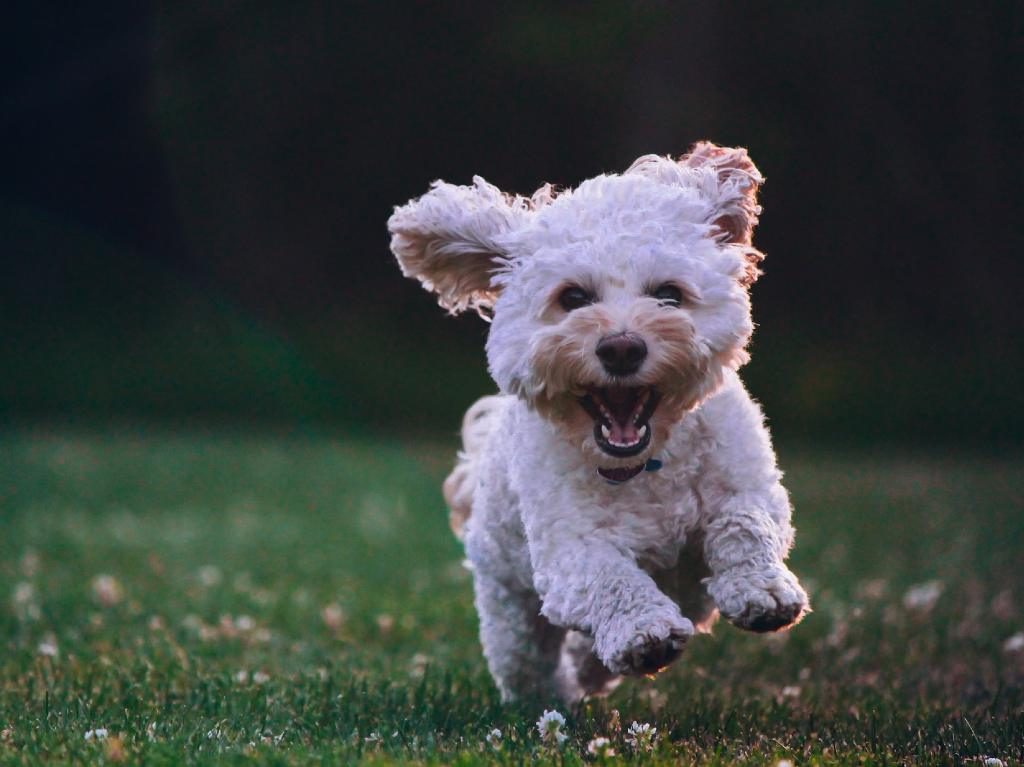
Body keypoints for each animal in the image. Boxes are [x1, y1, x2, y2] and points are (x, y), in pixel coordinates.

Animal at [389, 140, 806, 704]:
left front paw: (762, 590)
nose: (622, 347)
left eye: (669, 294)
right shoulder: (569, 550)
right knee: (527, 660)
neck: (646, 464)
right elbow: (609, 578)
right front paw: (643, 632)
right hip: (508, 604)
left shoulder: (749, 483)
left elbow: (745, 522)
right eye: (573, 298)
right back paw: (555, 695)